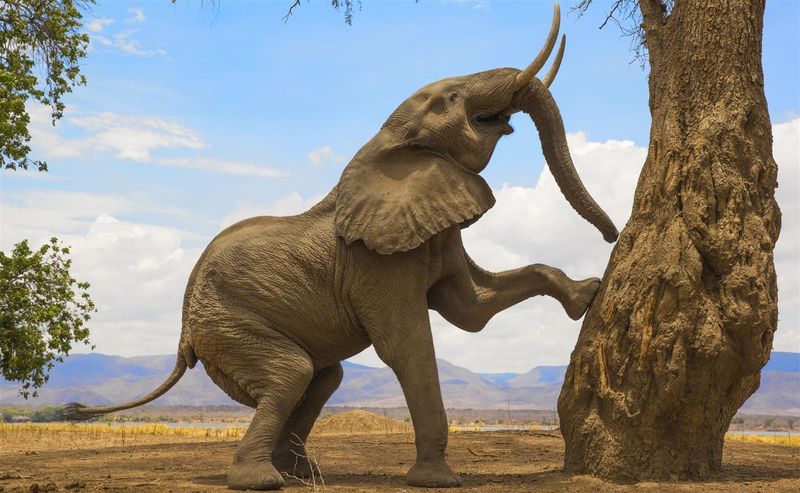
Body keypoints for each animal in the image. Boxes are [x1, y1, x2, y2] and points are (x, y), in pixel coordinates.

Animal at [66, 3, 618, 490]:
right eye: (455, 95)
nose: (612, 235)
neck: (387, 142)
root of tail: (183, 333)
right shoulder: (375, 261)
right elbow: (409, 345)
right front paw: (438, 480)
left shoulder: (432, 231)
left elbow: (472, 310)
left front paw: (587, 294)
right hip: (227, 323)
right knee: (291, 374)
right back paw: (261, 481)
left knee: (322, 378)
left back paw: (300, 475)